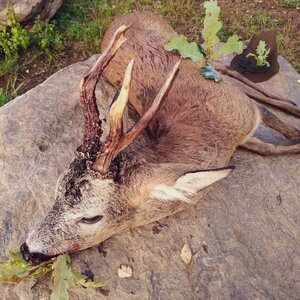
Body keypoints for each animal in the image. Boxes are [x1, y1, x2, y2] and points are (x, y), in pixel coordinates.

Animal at [19, 12, 298, 264]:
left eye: (91, 218)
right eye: (56, 192)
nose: (26, 250)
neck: (214, 137)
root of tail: (123, 16)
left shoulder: (247, 111)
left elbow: (287, 132)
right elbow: (270, 148)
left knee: (226, 69)